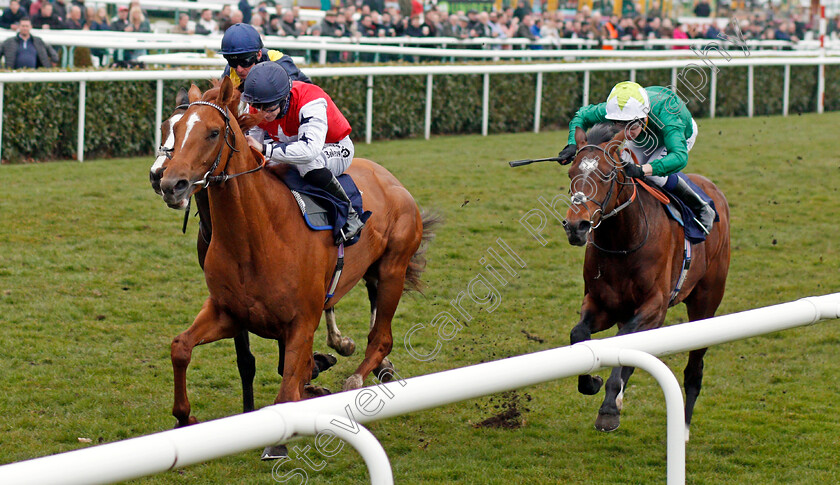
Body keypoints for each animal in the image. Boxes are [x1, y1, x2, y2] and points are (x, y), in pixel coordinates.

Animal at [154, 77, 436, 426]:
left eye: (213, 132)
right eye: (173, 129)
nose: (170, 183)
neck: (255, 239)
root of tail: (391, 179)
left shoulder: (300, 324)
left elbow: (288, 389)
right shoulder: (228, 313)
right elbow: (181, 347)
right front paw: (184, 417)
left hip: (392, 270)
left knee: (381, 338)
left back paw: (357, 377)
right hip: (373, 272)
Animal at [560, 124, 732, 434]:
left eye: (607, 174)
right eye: (570, 173)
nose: (576, 226)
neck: (624, 240)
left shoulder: (655, 306)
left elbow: (623, 340)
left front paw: (608, 408)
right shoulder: (602, 304)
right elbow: (579, 335)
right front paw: (594, 383)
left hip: (705, 302)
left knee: (694, 369)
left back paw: (683, 426)